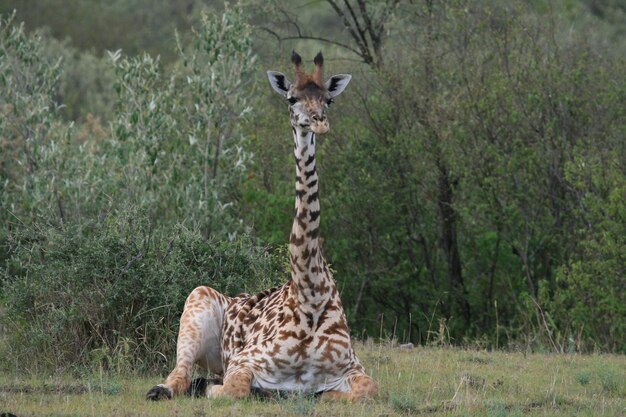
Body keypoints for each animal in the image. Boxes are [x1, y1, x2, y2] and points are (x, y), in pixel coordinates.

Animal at [146, 50, 376, 402]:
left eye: (329, 99)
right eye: (292, 98)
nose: (319, 122)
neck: (311, 295)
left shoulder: (352, 367)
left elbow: (366, 390)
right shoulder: (245, 361)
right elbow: (232, 389)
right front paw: (223, 389)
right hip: (197, 301)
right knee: (180, 376)